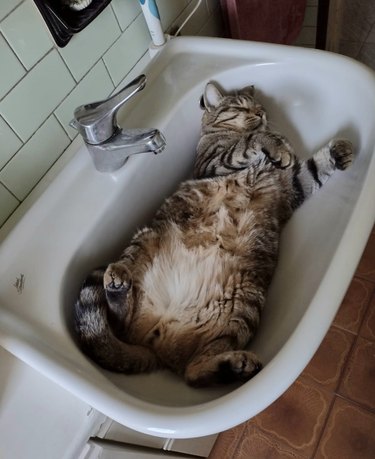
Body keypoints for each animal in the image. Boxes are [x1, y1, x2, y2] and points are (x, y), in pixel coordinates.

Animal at [74, 82, 356, 388]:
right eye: (241, 107)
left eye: (260, 107)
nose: (260, 112)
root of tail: (157, 343)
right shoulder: (214, 161)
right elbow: (250, 142)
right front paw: (274, 142)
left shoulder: (290, 186)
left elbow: (312, 169)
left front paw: (338, 151)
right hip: (146, 239)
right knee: (120, 321)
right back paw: (117, 283)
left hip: (245, 305)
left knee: (193, 372)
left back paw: (235, 366)